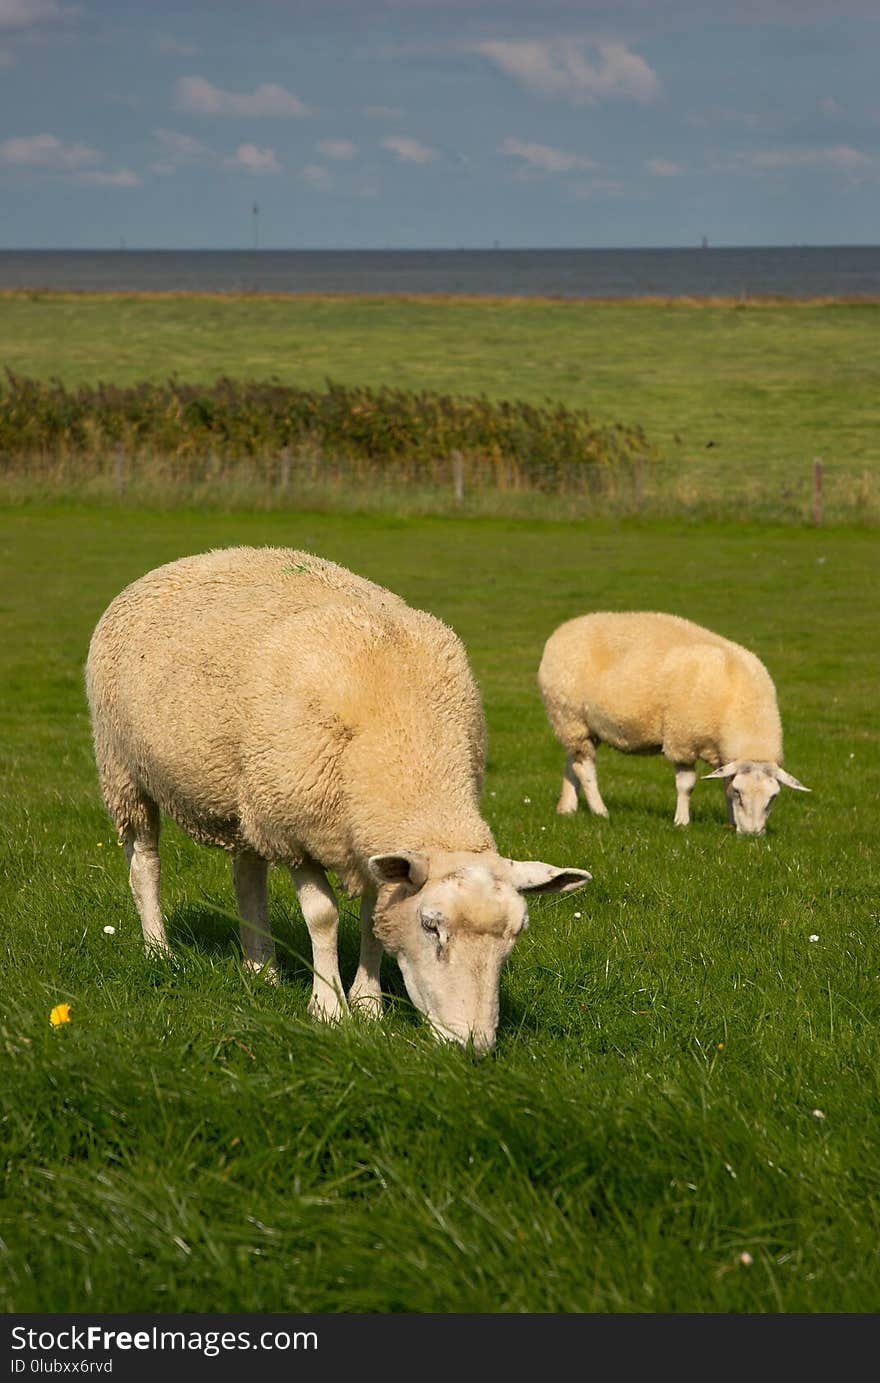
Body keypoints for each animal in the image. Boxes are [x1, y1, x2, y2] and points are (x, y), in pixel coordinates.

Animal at [85, 544, 592, 1051]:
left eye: (514, 936)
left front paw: (368, 1006)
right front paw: (329, 1008)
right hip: (124, 769)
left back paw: (261, 968)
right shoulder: (294, 830)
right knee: (144, 863)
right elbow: (323, 917)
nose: (473, 1045)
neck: (406, 746)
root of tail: (180, 563)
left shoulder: (365, 842)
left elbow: (371, 920)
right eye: (431, 925)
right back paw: (158, 949)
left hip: (246, 794)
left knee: (247, 874)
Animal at [534, 614, 808, 829]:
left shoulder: (722, 754)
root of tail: (563, 630)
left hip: (581, 726)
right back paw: (601, 811)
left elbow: (723, 784)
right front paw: (682, 822)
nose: (752, 835)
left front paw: (730, 823)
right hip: (569, 715)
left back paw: (567, 808)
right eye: (741, 794)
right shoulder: (682, 740)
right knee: (585, 768)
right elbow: (687, 785)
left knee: (572, 762)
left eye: (773, 798)